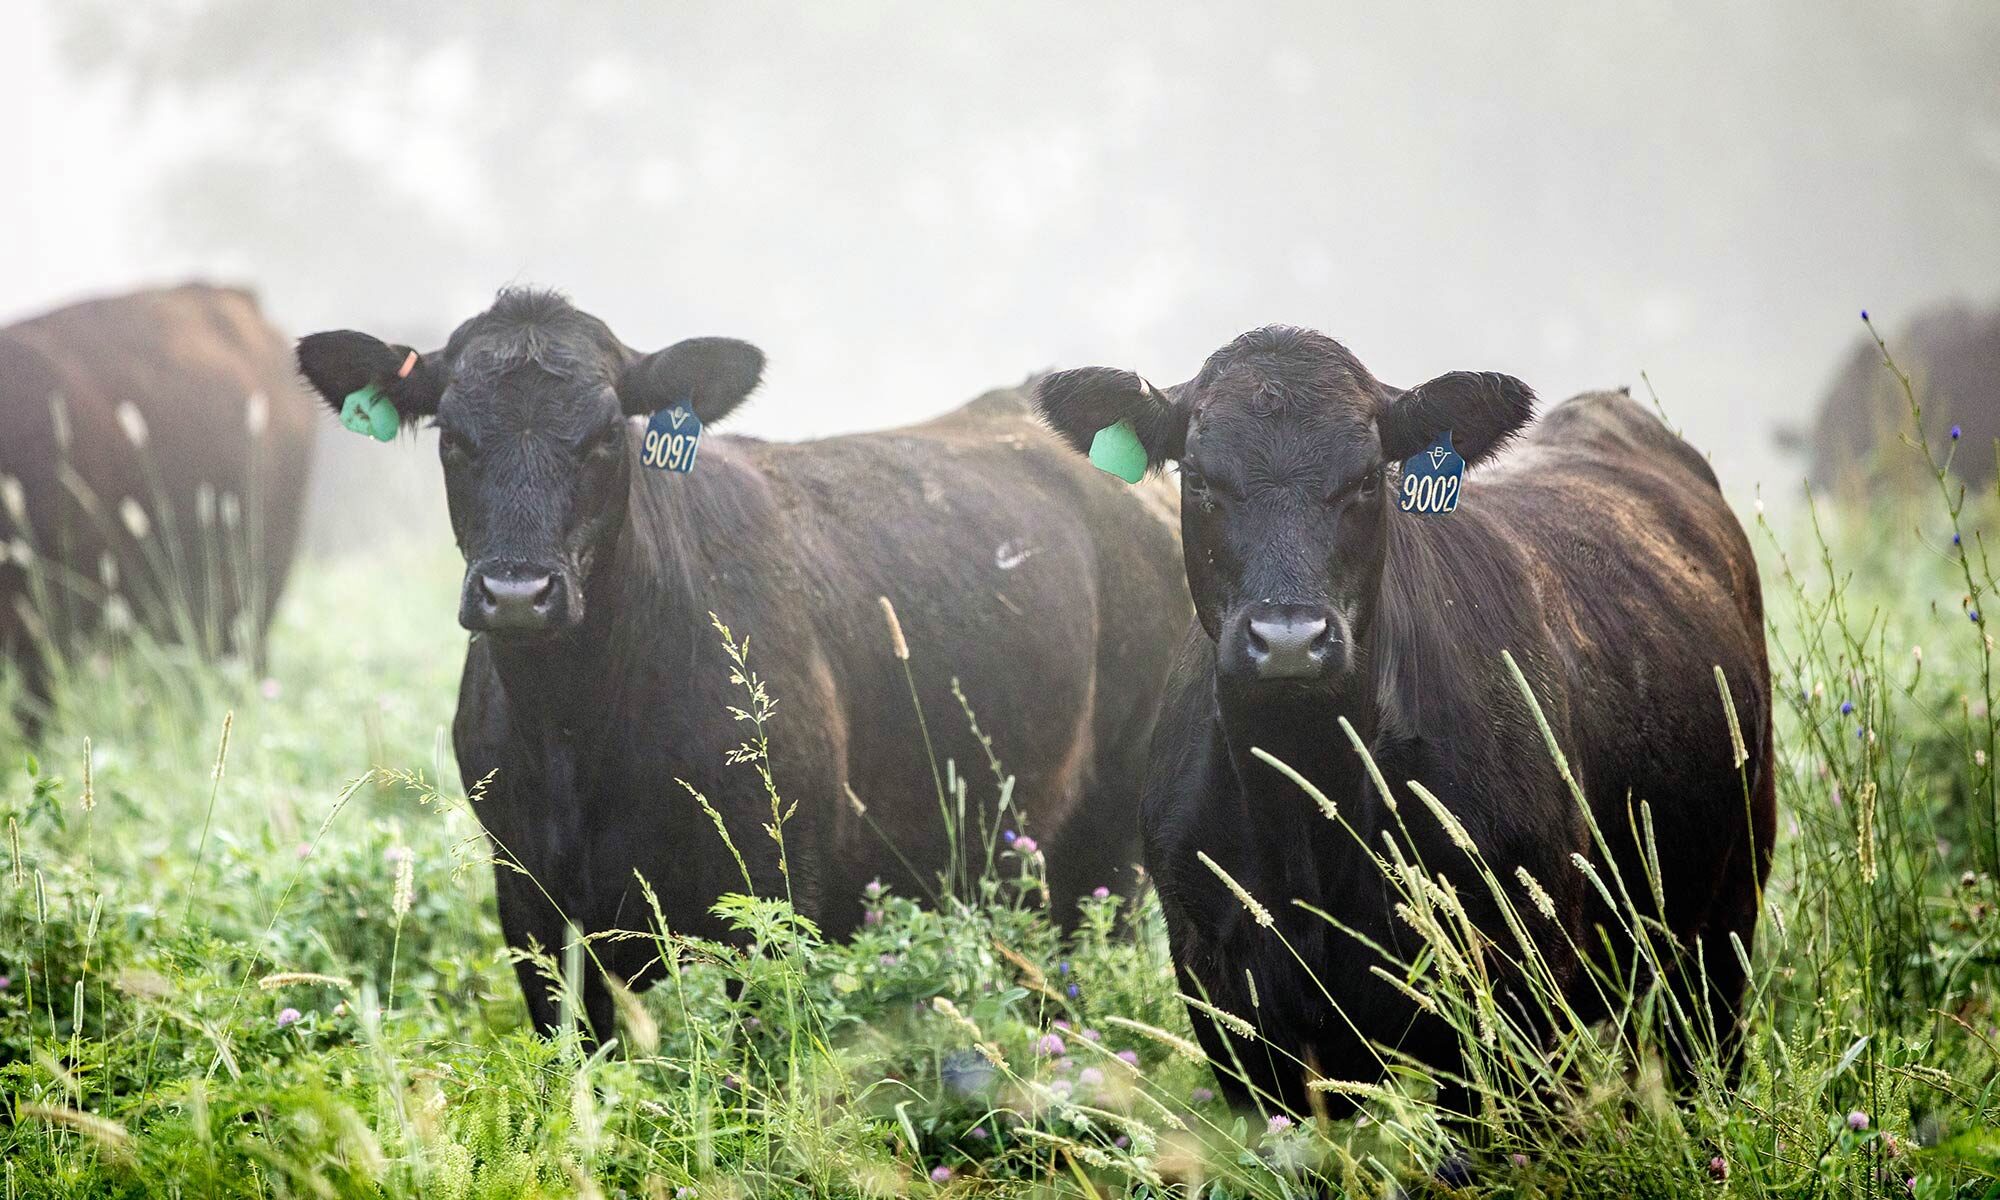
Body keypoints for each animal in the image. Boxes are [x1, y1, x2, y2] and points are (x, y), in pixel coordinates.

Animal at [294, 288, 1189, 1040]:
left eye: (606, 436)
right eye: (452, 437)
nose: (518, 592)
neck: (574, 732)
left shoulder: (773, 894)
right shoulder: (529, 903)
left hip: (1106, 841)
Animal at [1034, 325, 1774, 1117]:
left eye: (1367, 479)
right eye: (1199, 479)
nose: (1289, 638)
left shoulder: (1518, 1001)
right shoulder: (1233, 1009)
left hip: (1721, 929)